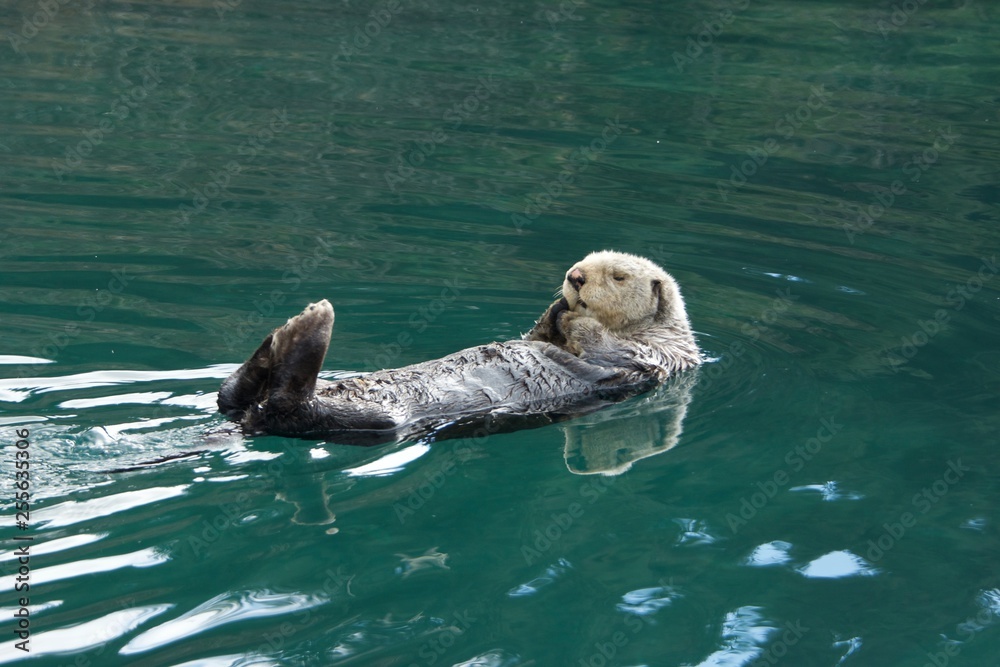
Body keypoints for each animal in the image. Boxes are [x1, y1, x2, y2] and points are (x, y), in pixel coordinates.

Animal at [217, 251, 701, 444]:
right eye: (581, 263)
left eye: (618, 276)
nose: (575, 277)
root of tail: (246, 423)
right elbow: (539, 337)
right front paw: (557, 308)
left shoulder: (654, 357)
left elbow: (607, 350)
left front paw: (577, 318)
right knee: (230, 395)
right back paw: (283, 336)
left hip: (370, 423)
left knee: (287, 406)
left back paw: (310, 324)